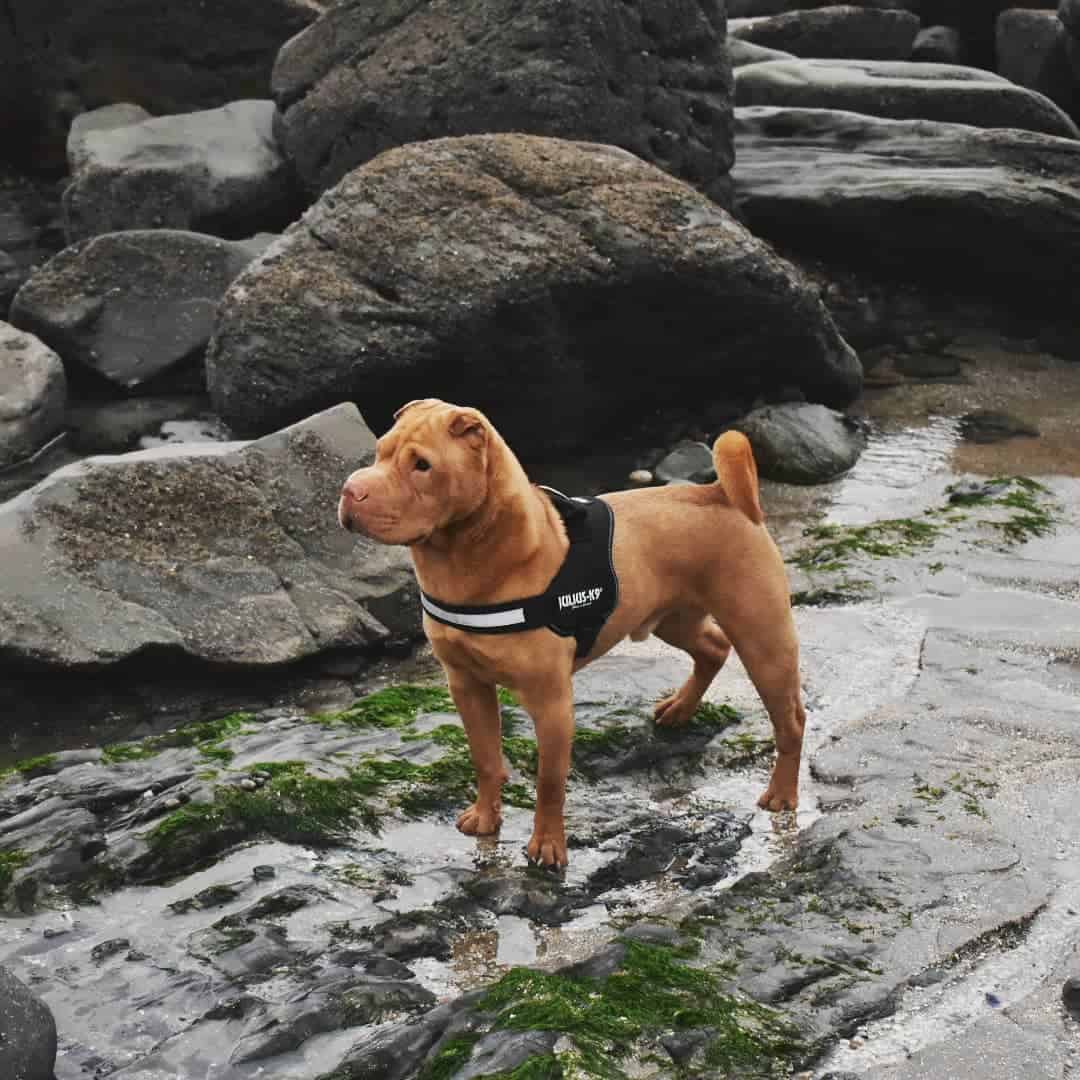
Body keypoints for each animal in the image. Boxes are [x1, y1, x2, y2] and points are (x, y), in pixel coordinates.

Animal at [341, 399, 807, 868]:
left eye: (422, 465)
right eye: (379, 452)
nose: (349, 491)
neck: (466, 559)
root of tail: (720, 494)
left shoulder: (551, 701)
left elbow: (549, 780)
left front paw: (548, 845)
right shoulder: (467, 685)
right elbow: (485, 758)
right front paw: (486, 818)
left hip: (762, 638)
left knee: (791, 720)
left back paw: (781, 794)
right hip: (672, 617)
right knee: (713, 647)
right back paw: (679, 709)